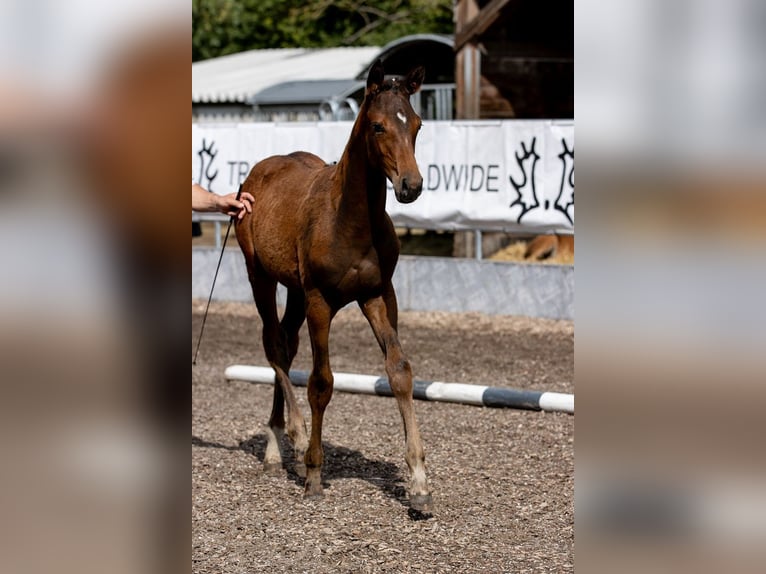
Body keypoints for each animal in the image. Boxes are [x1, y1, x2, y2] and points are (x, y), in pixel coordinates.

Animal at [236, 62, 432, 512]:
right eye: (377, 126)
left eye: (416, 124)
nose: (411, 186)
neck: (350, 220)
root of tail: (256, 173)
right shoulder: (321, 302)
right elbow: (321, 383)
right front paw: (313, 472)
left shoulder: (379, 294)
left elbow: (400, 371)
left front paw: (418, 483)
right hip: (262, 277)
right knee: (274, 346)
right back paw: (286, 438)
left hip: (294, 289)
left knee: (286, 344)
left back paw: (278, 438)